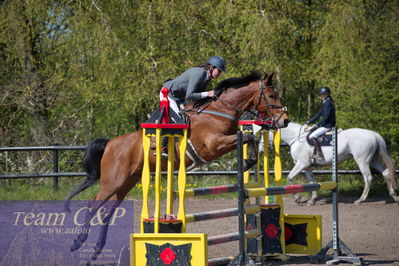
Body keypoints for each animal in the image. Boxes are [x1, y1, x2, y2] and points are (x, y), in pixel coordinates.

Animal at [63, 71, 290, 262]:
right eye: (271, 96)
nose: (285, 121)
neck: (220, 111)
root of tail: (110, 143)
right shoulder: (213, 145)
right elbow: (249, 137)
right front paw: (245, 163)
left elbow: (251, 139)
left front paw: (246, 164)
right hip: (112, 181)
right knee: (93, 205)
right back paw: (77, 243)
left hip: (126, 182)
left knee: (107, 212)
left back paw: (96, 251)